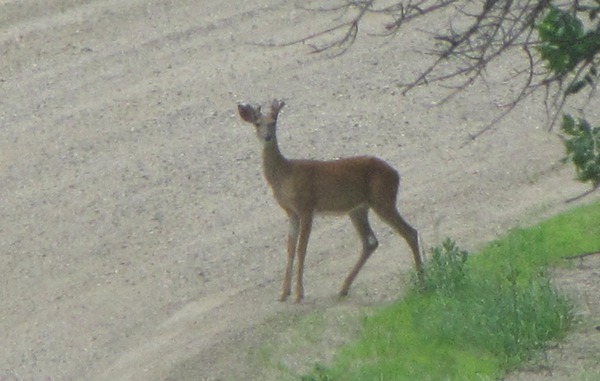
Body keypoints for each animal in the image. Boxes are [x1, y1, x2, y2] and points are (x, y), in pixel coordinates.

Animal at [237, 99, 424, 302]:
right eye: (257, 124)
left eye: (273, 123)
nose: (268, 137)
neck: (284, 175)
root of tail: (396, 174)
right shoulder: (291, 212)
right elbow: (290, 249)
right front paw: (283, 293)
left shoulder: (307, 206)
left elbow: (302, 249)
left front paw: (299, 293)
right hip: (358, 209)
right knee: (371, 241)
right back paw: (343, 288)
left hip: (383, 200)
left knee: (409, 232)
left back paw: (421, 278)